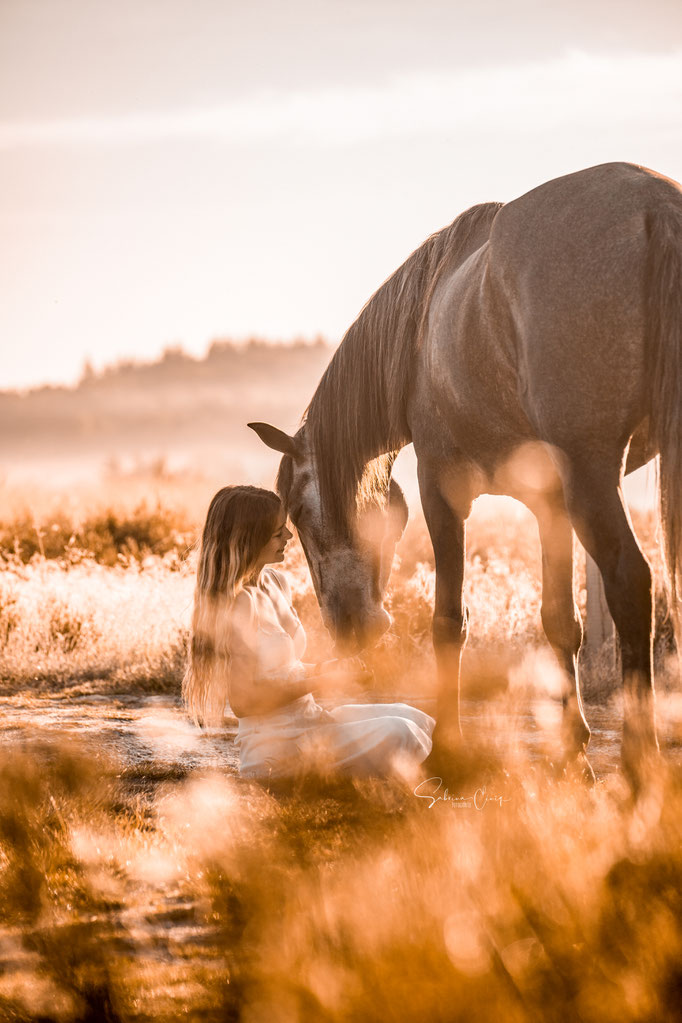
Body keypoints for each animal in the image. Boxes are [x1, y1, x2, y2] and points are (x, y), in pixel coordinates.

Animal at [250, 161, 682, 781]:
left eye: (303, 516)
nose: (349, 627)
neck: (418, 338)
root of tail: (654, 205)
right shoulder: (551, 504)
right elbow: (560, 621)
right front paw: (573, 748)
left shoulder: (444, 492)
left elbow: (449, 620)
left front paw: (450, 747)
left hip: (593, 475)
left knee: (630, 582)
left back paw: (638, 762)